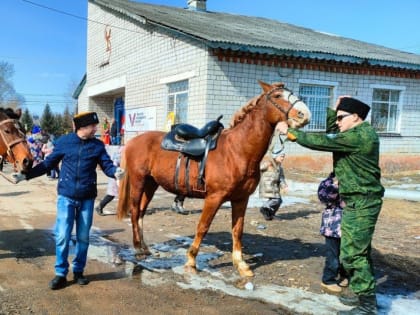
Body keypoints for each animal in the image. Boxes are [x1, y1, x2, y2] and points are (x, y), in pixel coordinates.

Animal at [116, 80, 310, 278]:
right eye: (277, 96)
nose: (305, 115)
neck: (237, 151)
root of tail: (132, 141)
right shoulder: (214, 198)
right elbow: (203, 226)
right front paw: (191, 261)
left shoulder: (241, 199)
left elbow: (237, 230)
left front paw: (241, 264)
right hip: (139, 181)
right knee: (134, 211)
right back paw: (138, 249)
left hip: (151, 183)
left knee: (141, 212)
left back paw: (145, 248)